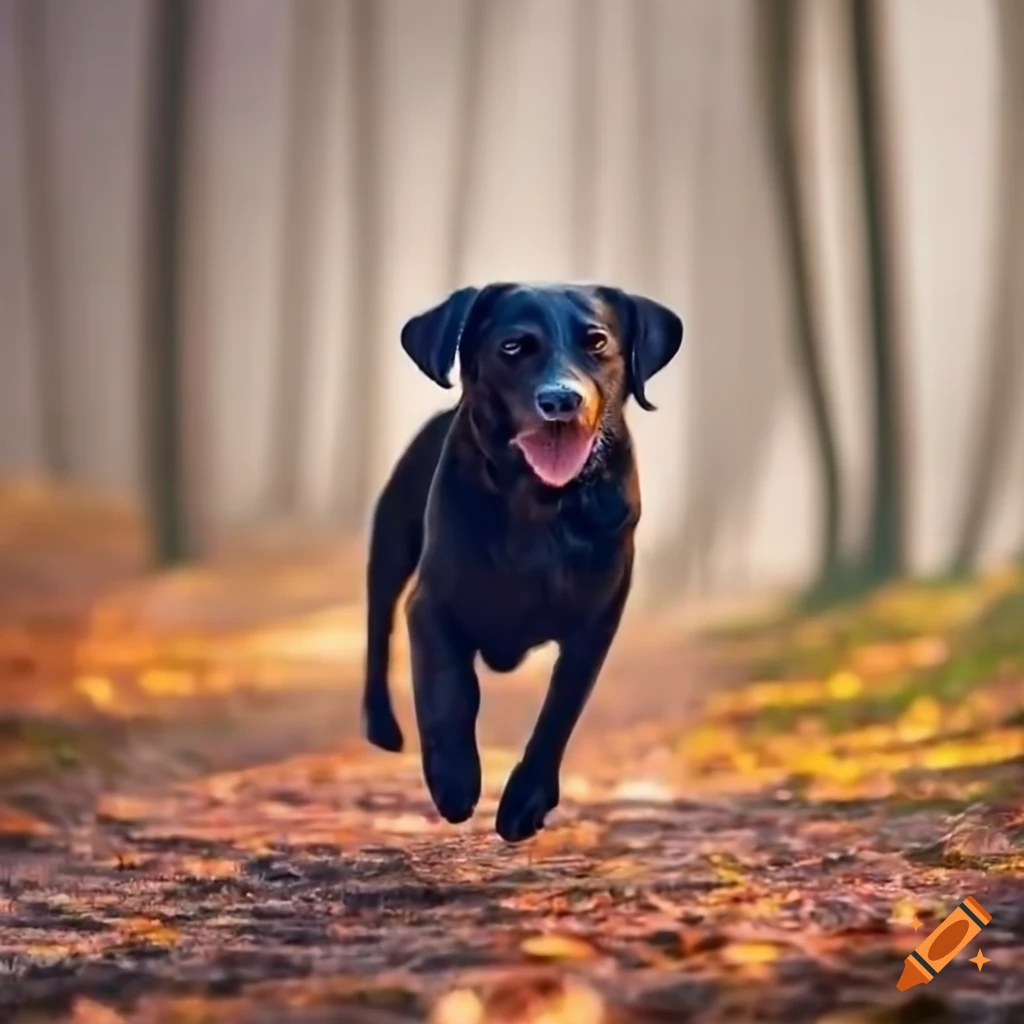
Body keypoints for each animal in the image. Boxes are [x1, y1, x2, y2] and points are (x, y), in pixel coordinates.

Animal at [364, 282, 684, 839]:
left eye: (597, 342)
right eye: (512, 347)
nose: (561, 400)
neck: (542, 505)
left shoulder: (596, 624)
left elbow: (559, 711)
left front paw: (524, 804)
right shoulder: (430, 606)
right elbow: (447, 691)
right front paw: (454, 781)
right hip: (390, 545)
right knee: (377, 627)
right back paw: (381, 725)